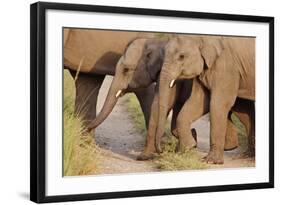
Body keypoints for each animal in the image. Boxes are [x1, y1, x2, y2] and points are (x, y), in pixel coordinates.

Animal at [154, 34, 255, 164]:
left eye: (181, 57)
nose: (161, 151)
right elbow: (199, 101)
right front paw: (190, 146)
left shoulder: (226, 66)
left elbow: (217, 104)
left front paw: (210, 161)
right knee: (245, 111)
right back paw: (247, 155)